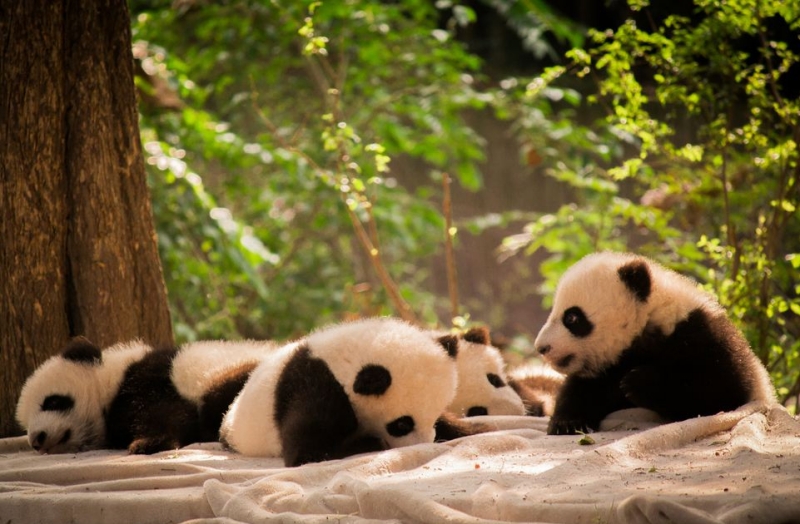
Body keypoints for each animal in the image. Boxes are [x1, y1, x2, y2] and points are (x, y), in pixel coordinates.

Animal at [16, 337, 274, 454]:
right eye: (26, 425)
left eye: (52, 401)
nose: (37, 439)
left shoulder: (152, 377)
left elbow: (163, 412)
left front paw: (149, 443)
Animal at [219, 317, 460, 467]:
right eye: (402, 425)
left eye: (433, 419)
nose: (422, 444)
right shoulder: (316, 385)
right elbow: (307, 453)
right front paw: (370, 443)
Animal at [533, 251, 776, 435]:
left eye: (572, 318)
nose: (541, 348)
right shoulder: (608, 364)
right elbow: (583, 389)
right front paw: (567, 423)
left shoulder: (704, 337)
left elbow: (721, 393)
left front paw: (638, 382)